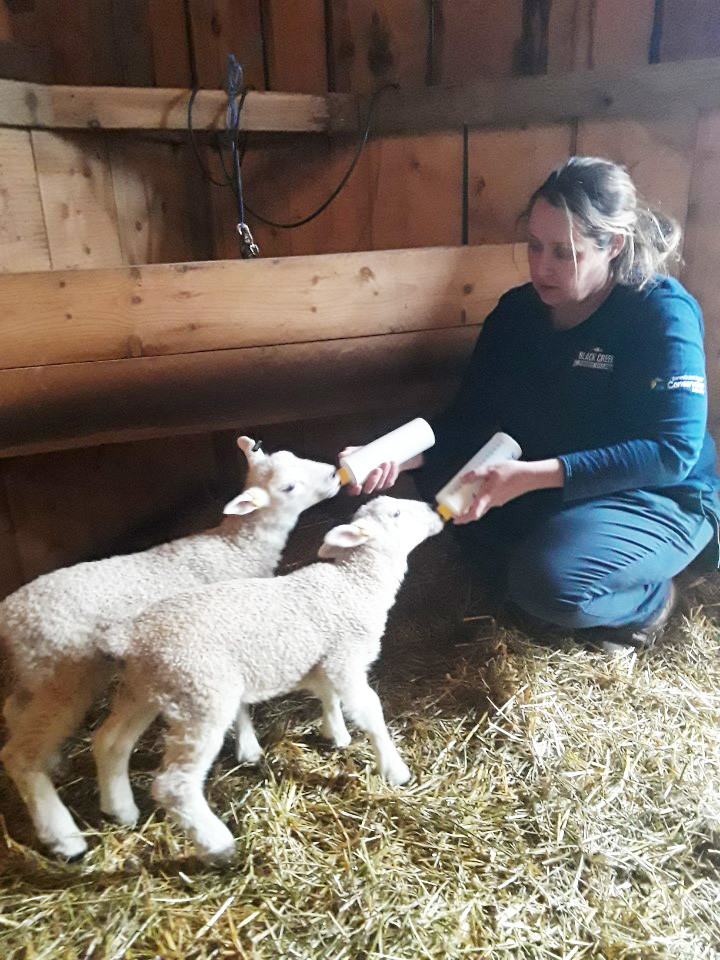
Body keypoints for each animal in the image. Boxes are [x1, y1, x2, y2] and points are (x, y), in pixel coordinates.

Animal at [0, 436, 340, 856]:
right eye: (289, 486)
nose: (334, 474)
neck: (234, 548)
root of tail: (10, 613)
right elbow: (241, 703)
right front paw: (248, 747)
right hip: (63, 677)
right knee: (18, 754)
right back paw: (63, 835)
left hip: (38, 674)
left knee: (15, 711)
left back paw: (64, 770)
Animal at [88, 496, 448, 864]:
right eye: (396, 514)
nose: (434, 511)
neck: (356, 584)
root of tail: (129, 638)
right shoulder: (345, 661)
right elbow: (371, 711)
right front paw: (394, 769)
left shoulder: (324, 661)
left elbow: (328, 696)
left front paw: (337, 734)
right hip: (200, 695)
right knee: (173, 785)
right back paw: (218, 844)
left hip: (144, 689)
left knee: (110, 743)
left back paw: (120, 809)